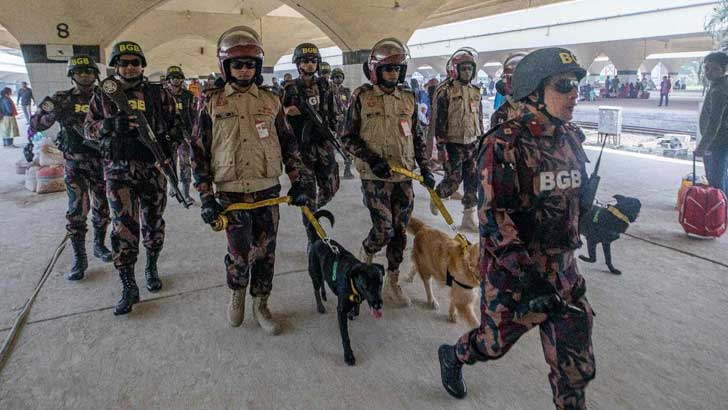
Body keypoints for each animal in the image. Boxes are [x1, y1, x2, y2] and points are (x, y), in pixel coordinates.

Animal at [308, 211, 386, 366]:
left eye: (380, 283)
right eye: (366, 286)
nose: (378, 305)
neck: (352, 284)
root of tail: (317, 240)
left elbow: (356, 310)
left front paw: (352, 312)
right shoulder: (341, 310)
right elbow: (345, 336)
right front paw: (348, 355)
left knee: (323, 284)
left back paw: (325, 295)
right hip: (316, 274)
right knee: (315, 289)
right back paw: (320, 306)